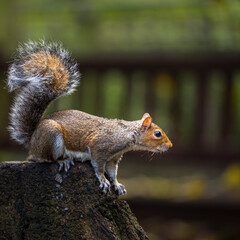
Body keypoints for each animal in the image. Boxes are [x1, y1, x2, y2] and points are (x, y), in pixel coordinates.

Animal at [7, 40, 172, 195]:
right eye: (158, 134)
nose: (170, 146)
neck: (126, 134)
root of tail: (32, 141)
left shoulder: (113, 158)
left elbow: (112, 172)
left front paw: (117, 184)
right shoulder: (99, 147)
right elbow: (99, 167)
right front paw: (103, 180)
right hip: (51, 135)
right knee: (47, 159)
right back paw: (64, 160)